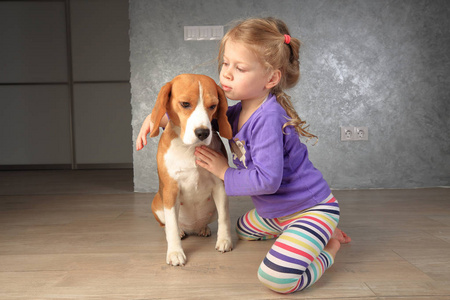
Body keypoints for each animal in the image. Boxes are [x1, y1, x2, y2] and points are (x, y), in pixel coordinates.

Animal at [149, 74, 234, 266]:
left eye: (213, 106)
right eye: (185, 104)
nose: (203, 132)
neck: (189, 149)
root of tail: (192, 228)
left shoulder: (220, 187)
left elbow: (225, 217)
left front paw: (224, 240)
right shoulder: (171, 190)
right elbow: (171, 226)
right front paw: (175, 252)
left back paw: (203, 228)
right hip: (157, 203)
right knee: (169, 225)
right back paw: (181, 232)